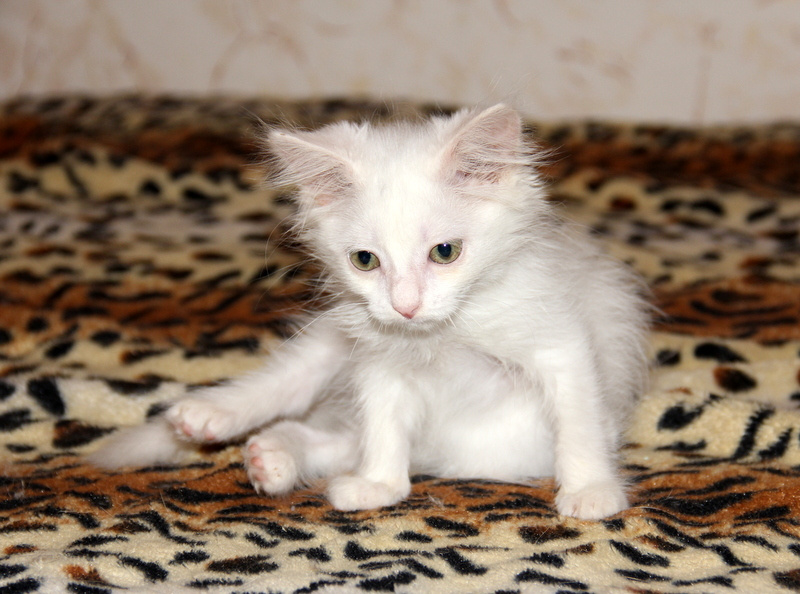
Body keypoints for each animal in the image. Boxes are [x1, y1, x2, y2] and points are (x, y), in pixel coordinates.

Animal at [90, 104, 650, 520]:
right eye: (365, 260)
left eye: (445, 252)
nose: (405, 306)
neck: (443, 334)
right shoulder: (379, 365)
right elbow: (382, 428)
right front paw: (378, 484)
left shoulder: (561, 341)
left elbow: (578, 420)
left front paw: (591, 489)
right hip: (333, 340)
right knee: (290, 386)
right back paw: (213, 420)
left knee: (335, 435)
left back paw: (272, 456)